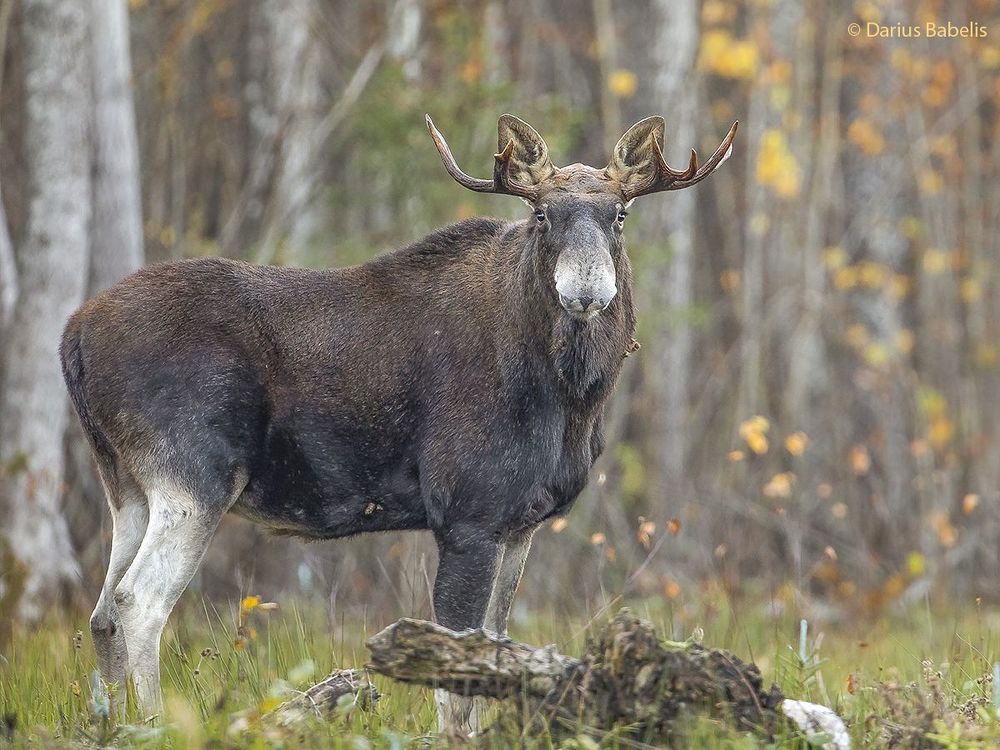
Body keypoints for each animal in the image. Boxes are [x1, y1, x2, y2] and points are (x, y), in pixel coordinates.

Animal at [60, 112, 736, 732]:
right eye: (543, 216)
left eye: (619, 216)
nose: (587, 288)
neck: (571, 401)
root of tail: (73, 336)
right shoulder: (467, 515)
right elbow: (453, 673)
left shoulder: (519, 524)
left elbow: (496, 649)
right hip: (193, 478)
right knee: (140, 602)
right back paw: (155, 723)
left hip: (128, 487)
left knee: (102, 611)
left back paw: (113, 725)